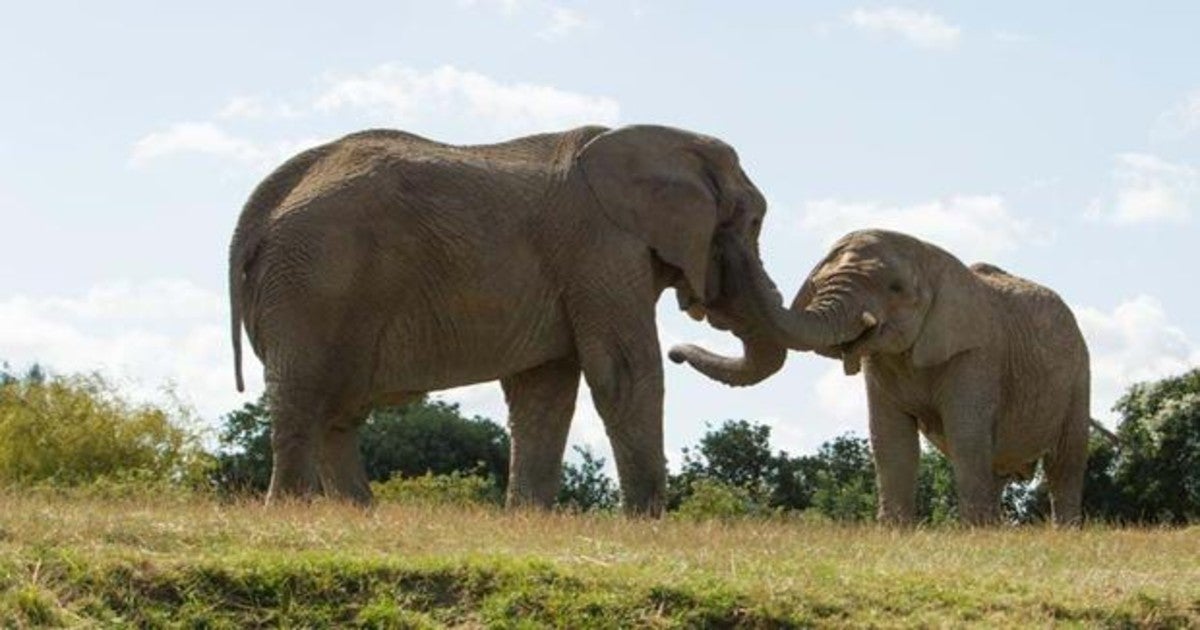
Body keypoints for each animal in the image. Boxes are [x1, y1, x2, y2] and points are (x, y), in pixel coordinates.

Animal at [226, 124, 787, 516]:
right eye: (755, 221)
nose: (684, 344)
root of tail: (258, 210)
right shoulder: (602, 248)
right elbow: (624, 373)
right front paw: (645, 524)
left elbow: (544, 391)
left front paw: (529, 519)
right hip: (314, 282)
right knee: (305, 398)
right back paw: (291, 513)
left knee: (335, 412)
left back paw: (361, 515)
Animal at [672, 228, 1094, 523]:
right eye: (818, 284)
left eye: (895, 288)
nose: (674, 354)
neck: (930, 254)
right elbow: (890, 440)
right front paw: (895, 531)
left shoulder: (977, 353)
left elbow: (966, 435)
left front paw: (975, 533)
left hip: (1080, 372)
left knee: (1065, 460)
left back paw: (1060, 531)